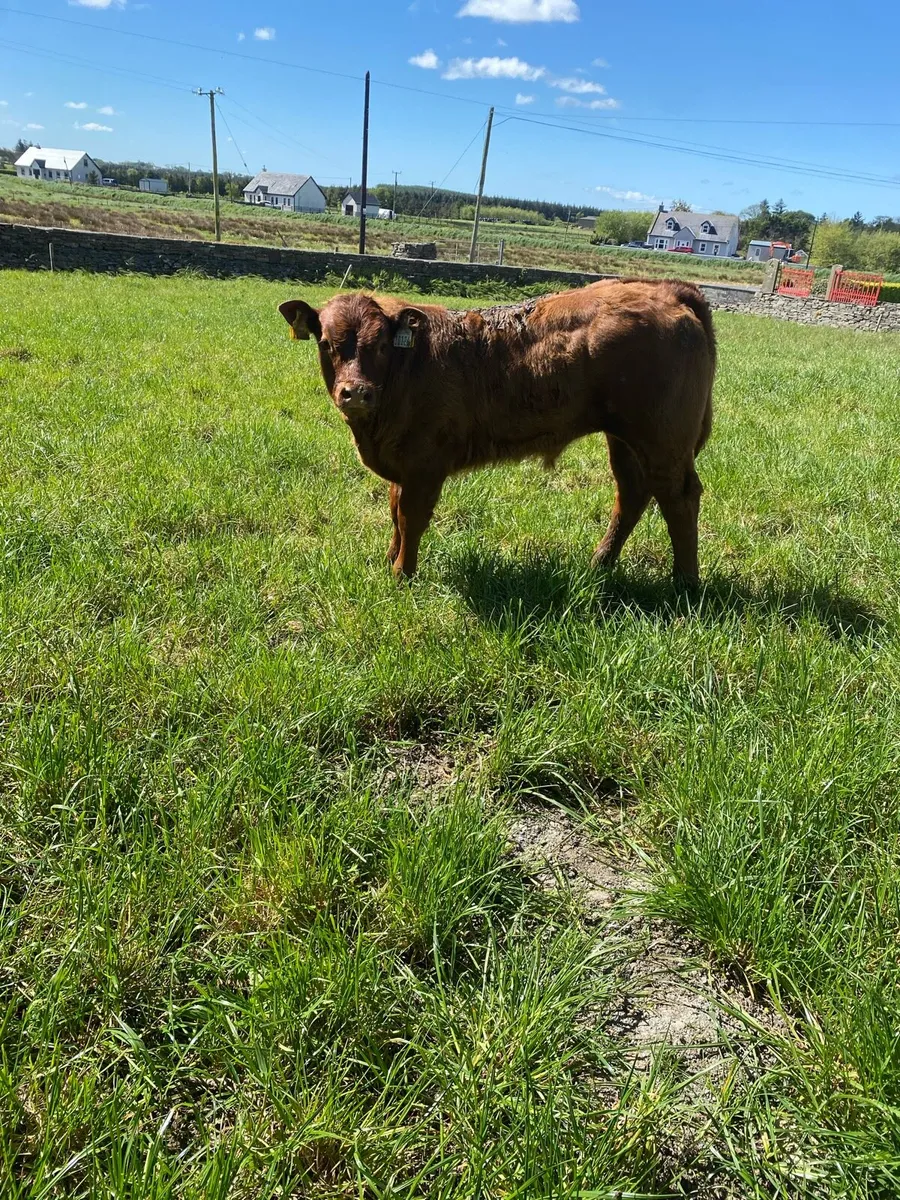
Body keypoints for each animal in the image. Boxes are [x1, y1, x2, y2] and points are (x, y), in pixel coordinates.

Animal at [278, 279, 715, 583]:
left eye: (383, 345)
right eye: (326, 343)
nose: (357, 392)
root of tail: (665, 288)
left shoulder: (424, 466)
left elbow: (410, 517)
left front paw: (402, 574)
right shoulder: (401, 464)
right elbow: (393, 512)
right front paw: (390, 559)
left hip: (662, 440)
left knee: (679, 498)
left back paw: (684, 583)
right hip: (624, 439)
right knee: (632, 494)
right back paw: (600, 563)